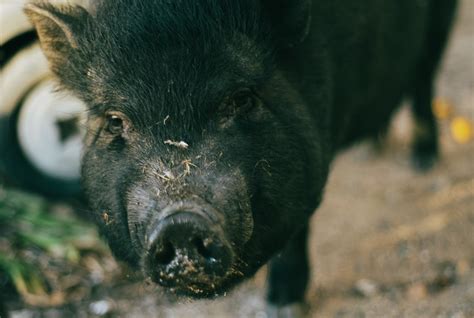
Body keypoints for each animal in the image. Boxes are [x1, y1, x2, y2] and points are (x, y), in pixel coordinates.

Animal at [24, 0, 458, 316]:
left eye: (241, 99)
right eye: (115, 120)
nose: (180, 221)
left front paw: (284, 307)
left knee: (423, 79)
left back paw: (423, 160)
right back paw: (371, 151)